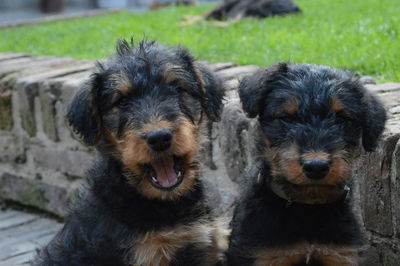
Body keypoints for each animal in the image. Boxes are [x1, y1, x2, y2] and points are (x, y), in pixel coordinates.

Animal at [227, 62, 386, 266]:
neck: (308, 206)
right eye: (287, 117)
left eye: (343, 119)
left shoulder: (341, 255)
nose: (316, 166)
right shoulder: (264, 255)